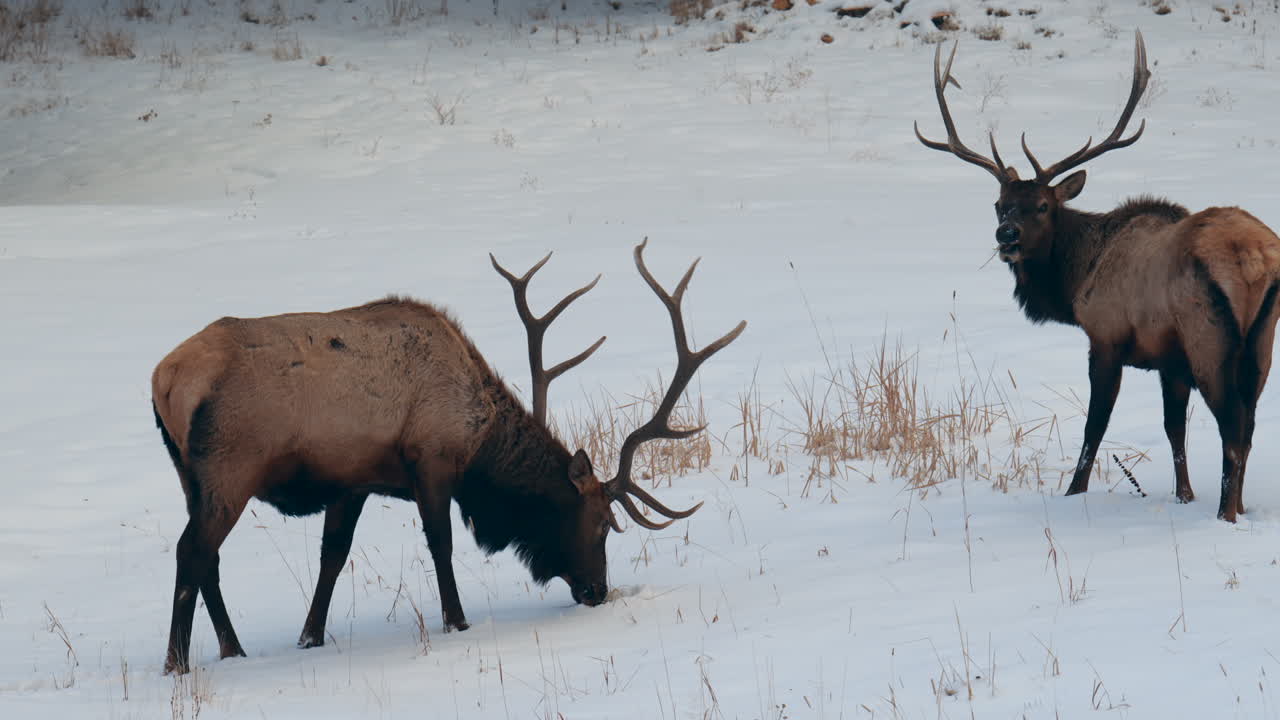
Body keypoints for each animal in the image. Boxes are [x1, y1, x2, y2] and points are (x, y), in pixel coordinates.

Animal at [151, 238, 745, 675]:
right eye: (602, 522)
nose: (598, 591)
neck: (478, 437)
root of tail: (166, 378)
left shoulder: (353, 479)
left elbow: (332, 558)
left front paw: (310, 636)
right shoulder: (431, 460)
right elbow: (441, 544)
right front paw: (457, 622)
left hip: (189, 475)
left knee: (208, 560)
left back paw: (233, 649)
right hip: (231, 466)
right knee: (190, 551)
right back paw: (177, 663)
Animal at [915, 30, 1280, 522]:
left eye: (1042, 206)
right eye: (999, 204)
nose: (1006, 235)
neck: (1076, 280)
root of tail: (1255, 257)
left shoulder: (1105, 338)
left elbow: (1095, 424)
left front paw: (1073, 492)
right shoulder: (1170, 359)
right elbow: (1174, 430)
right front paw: (1183, 496)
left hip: (1210, 337)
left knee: (1234, 431)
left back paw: (1225, 515)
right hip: (1261, 343)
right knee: (1249, 426)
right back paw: (1237, 508)